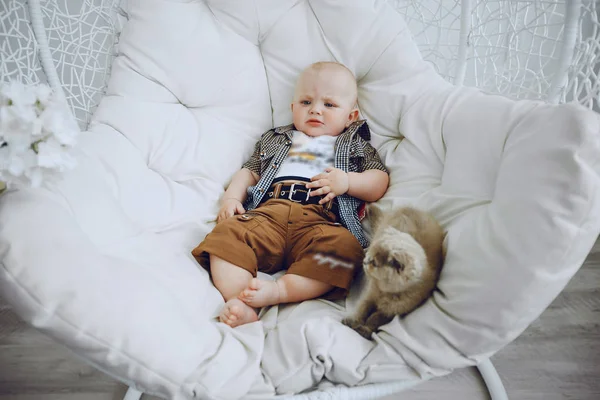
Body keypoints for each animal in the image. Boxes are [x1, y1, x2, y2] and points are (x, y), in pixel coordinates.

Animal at [342, 205, 446, 340]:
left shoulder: (391, 312)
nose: (364, 261)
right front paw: (352, 321)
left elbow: (375, 319)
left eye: (374, 263)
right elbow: (362, 308)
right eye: (370, 255)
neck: (385, 293)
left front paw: (365, 330)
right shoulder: (369, 295)